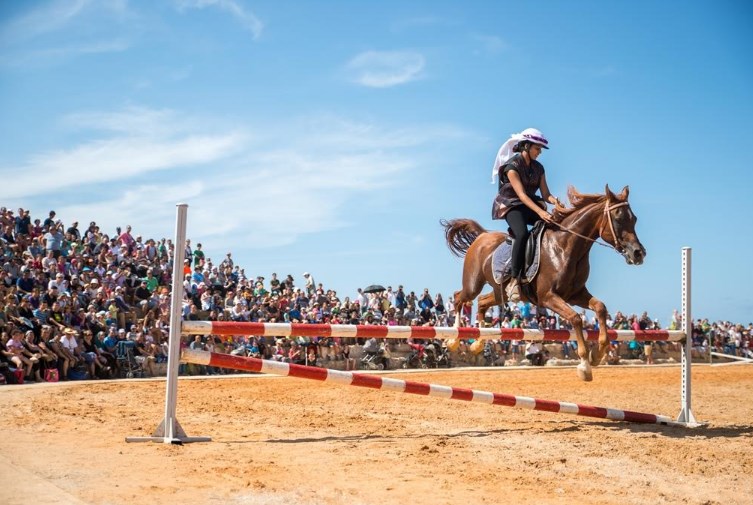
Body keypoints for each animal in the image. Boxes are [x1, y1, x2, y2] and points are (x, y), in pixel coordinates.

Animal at [440, 183, 648, 380]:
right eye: (618, 218)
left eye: (635, 219)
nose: (638, 253)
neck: (566, 247)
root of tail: (483, 235)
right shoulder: (547, 297)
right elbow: (576, 318)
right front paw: (584, 365)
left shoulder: (575, 294)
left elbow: (600, 307)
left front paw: (597, 354)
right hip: (473, 284)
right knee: (459, 298)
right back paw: (454, 339)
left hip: (500, 293)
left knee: (482, 302)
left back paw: (478, 342)